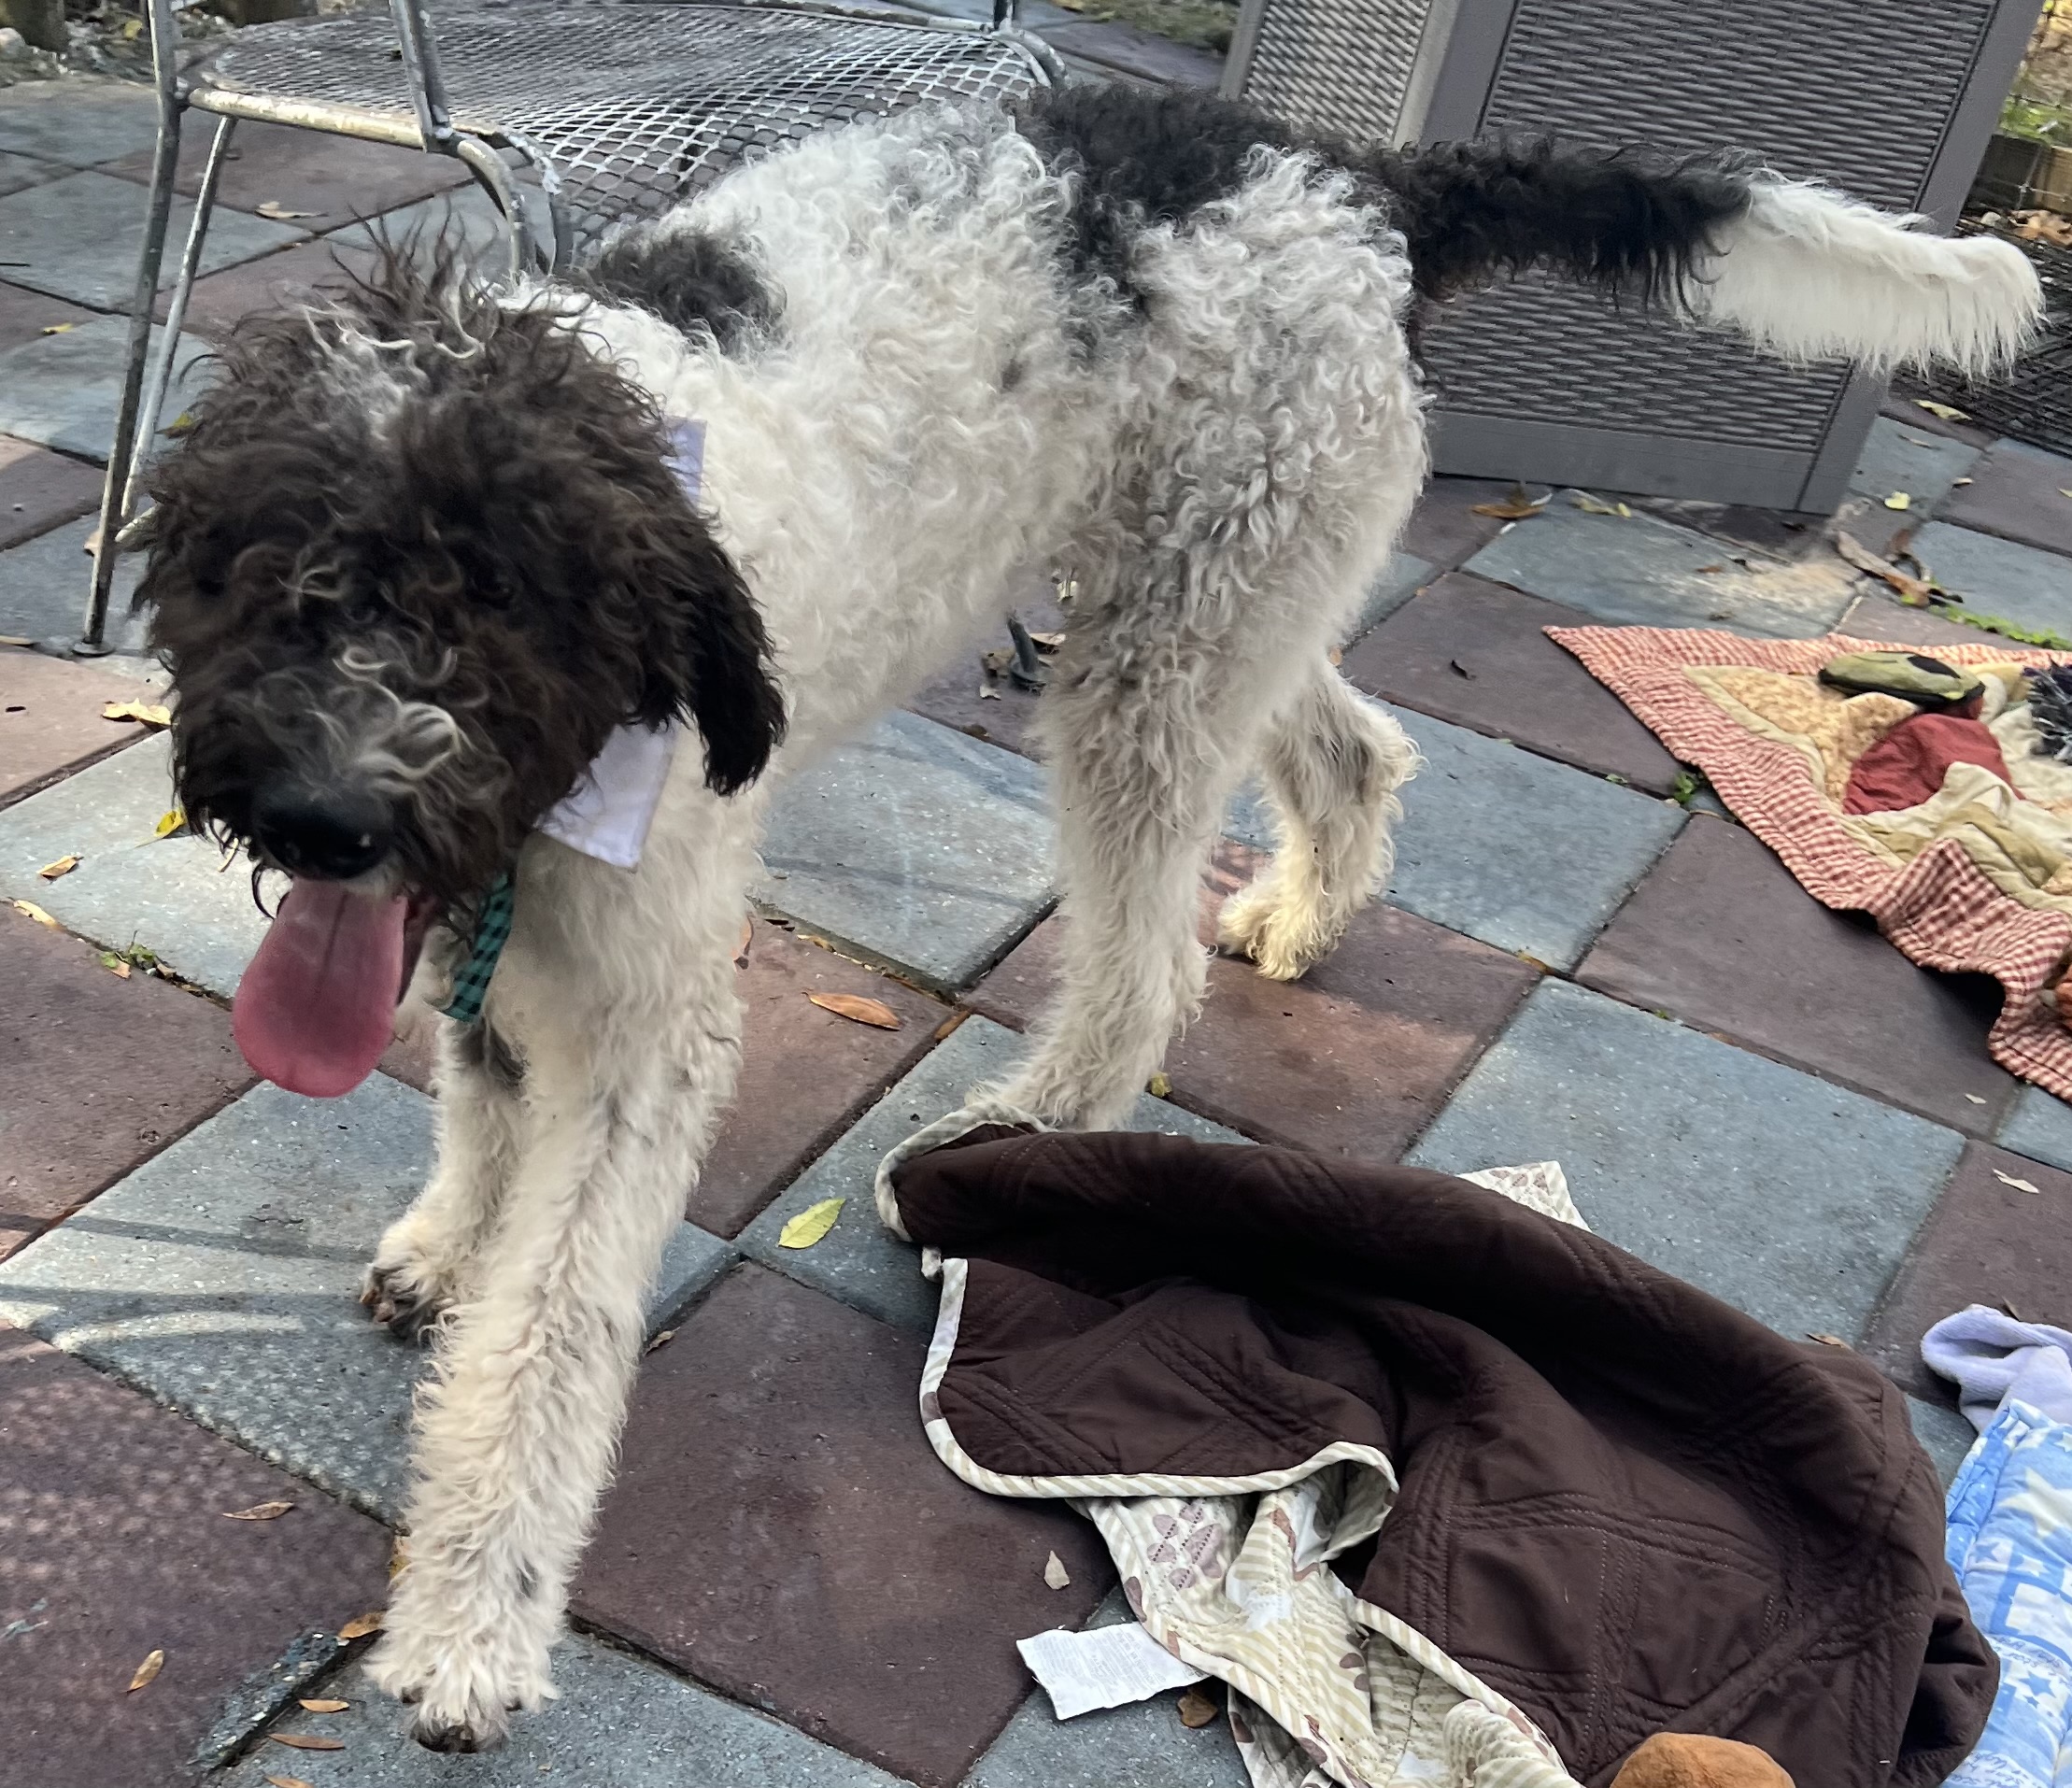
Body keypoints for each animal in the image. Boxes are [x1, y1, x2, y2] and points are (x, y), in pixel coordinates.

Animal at [134, 84, 2039, 1748]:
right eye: (256, 563)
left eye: (494, 597)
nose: (321, 813)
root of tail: (1352, 170)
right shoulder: (487, 922)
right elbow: (476, 1101)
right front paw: (450, 1236)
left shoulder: (640, 1016)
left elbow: (548, 1338)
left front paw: (472, 1624)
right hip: (1227, 598)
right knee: (1351, 745)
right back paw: (1299, 912)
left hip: (1154, 651)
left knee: (1139, 965)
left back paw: (1041, 1113)